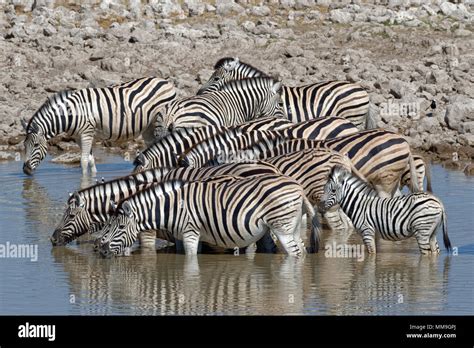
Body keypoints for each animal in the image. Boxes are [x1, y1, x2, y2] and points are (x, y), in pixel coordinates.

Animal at [22, 77, 176, 175]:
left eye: (36, 145)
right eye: (24, 145)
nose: (25, 170)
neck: (71, 113)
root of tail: (165, 81)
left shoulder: (86, 133)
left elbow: (84, 161)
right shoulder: (79, 137)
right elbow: (90, 160)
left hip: (159, 122)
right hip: (148, 127)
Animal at [98, 175, 316, 256]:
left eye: (121, 227)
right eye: (108, 224)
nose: (102, 250)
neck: (171, 207)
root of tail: (298, 187)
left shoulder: (190, 231)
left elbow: (191, 259)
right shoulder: (181, 235)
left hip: (282, 228)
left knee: (295, 254)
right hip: (294, 226)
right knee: (301, 251)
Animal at [318, 164, 452, 254]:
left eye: (333, 190)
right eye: (324, 189)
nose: (319, 207)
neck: (359, 205)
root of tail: (437, 201)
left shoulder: (367, 231)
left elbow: (371, 256)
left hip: (422, 230)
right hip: (432, 232)